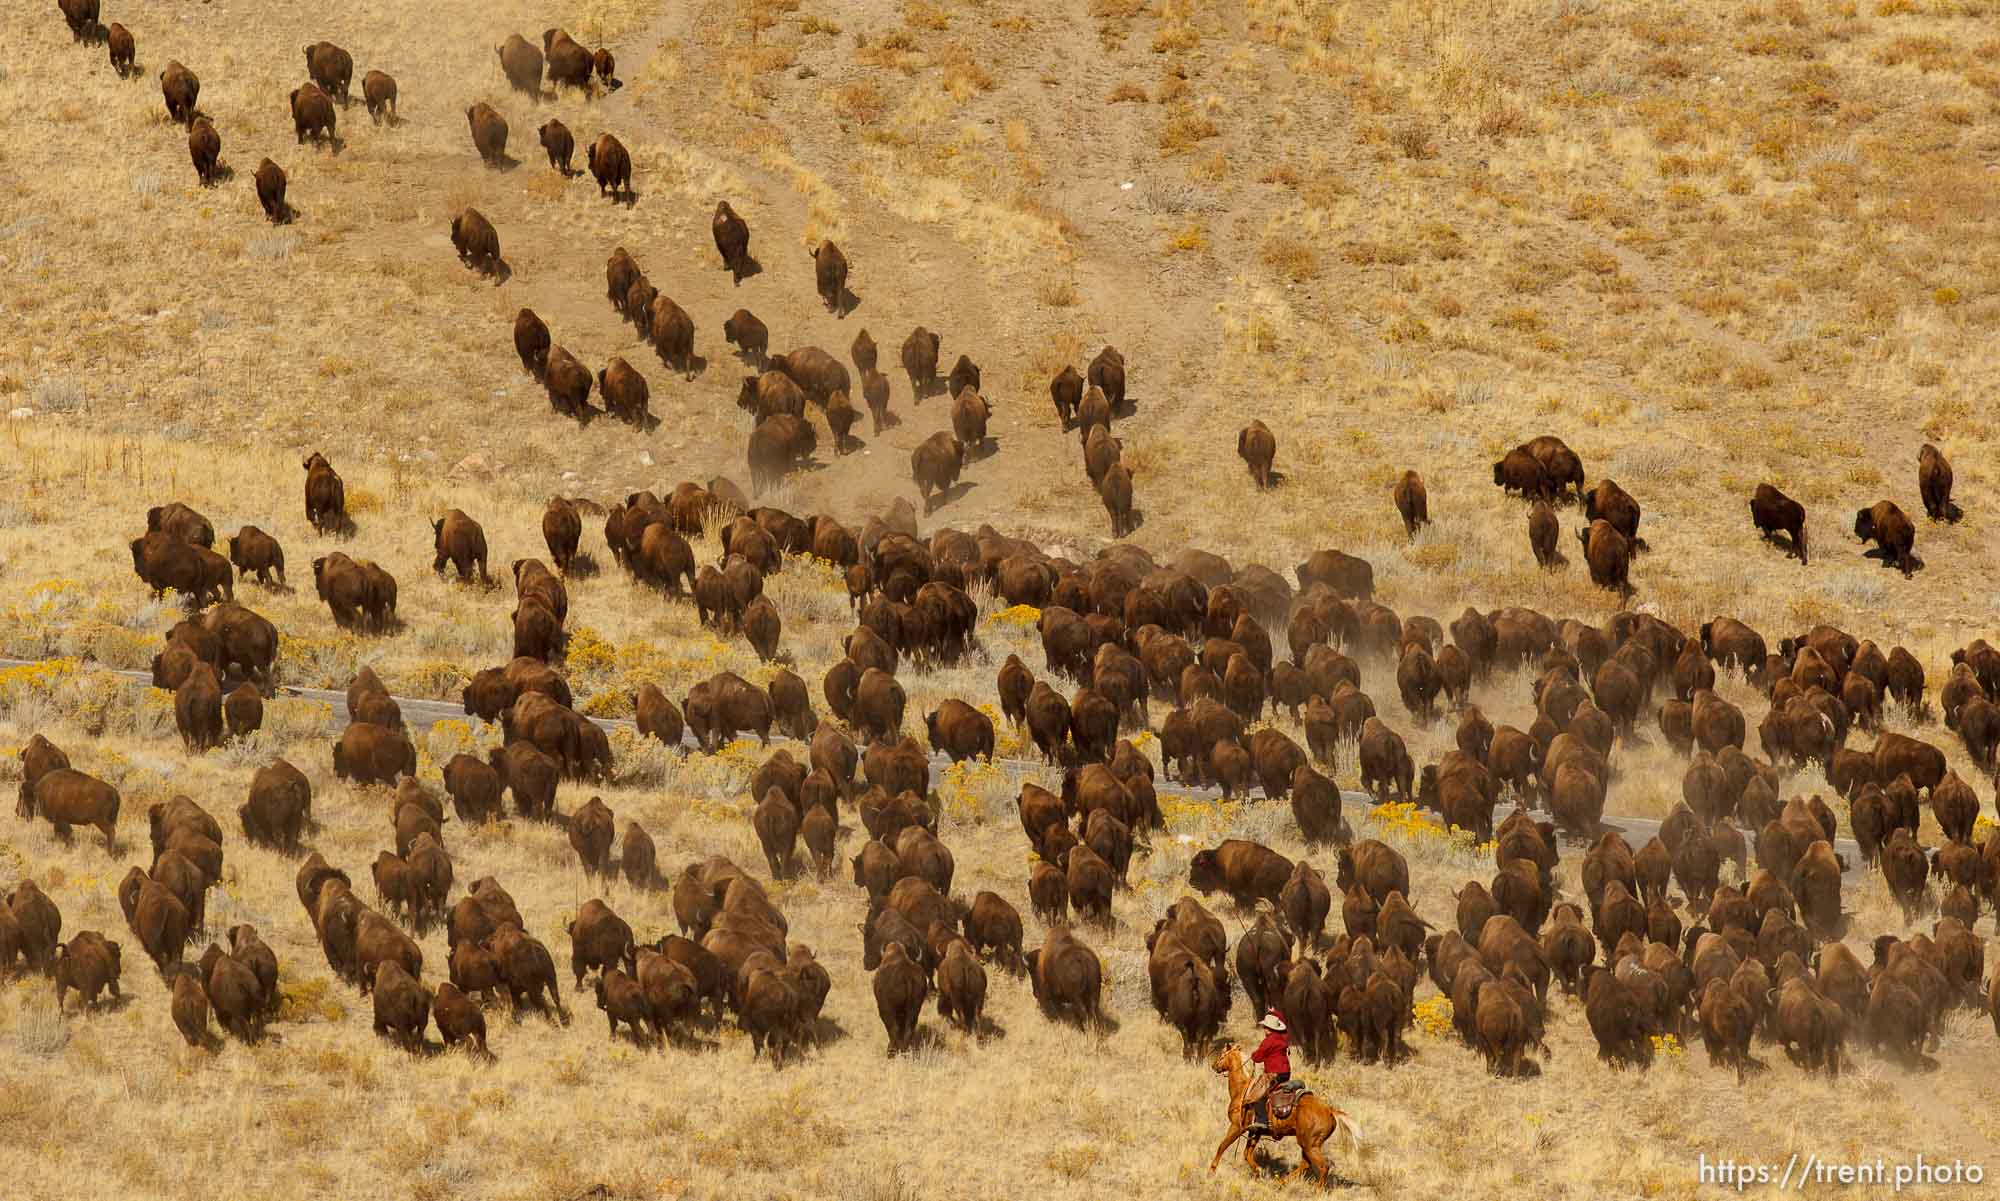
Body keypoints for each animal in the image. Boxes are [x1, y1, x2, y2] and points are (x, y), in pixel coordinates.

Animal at [1200, 1040, 1360, 1184]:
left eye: (1222, 1054)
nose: (1214, 1066)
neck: (1242, 1089)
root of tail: (1330, 1110)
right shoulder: (1255, 1131)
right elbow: (1247, 1154)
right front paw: (1259, 1172)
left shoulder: (1237, 1127)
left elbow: (1222, 1146)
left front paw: (1211, 1171)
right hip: (1309, 1144)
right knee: (1306, 1163)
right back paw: (1281, 1182)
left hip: (1309, 1144)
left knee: (1322, 1167)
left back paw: (1315, 1191)